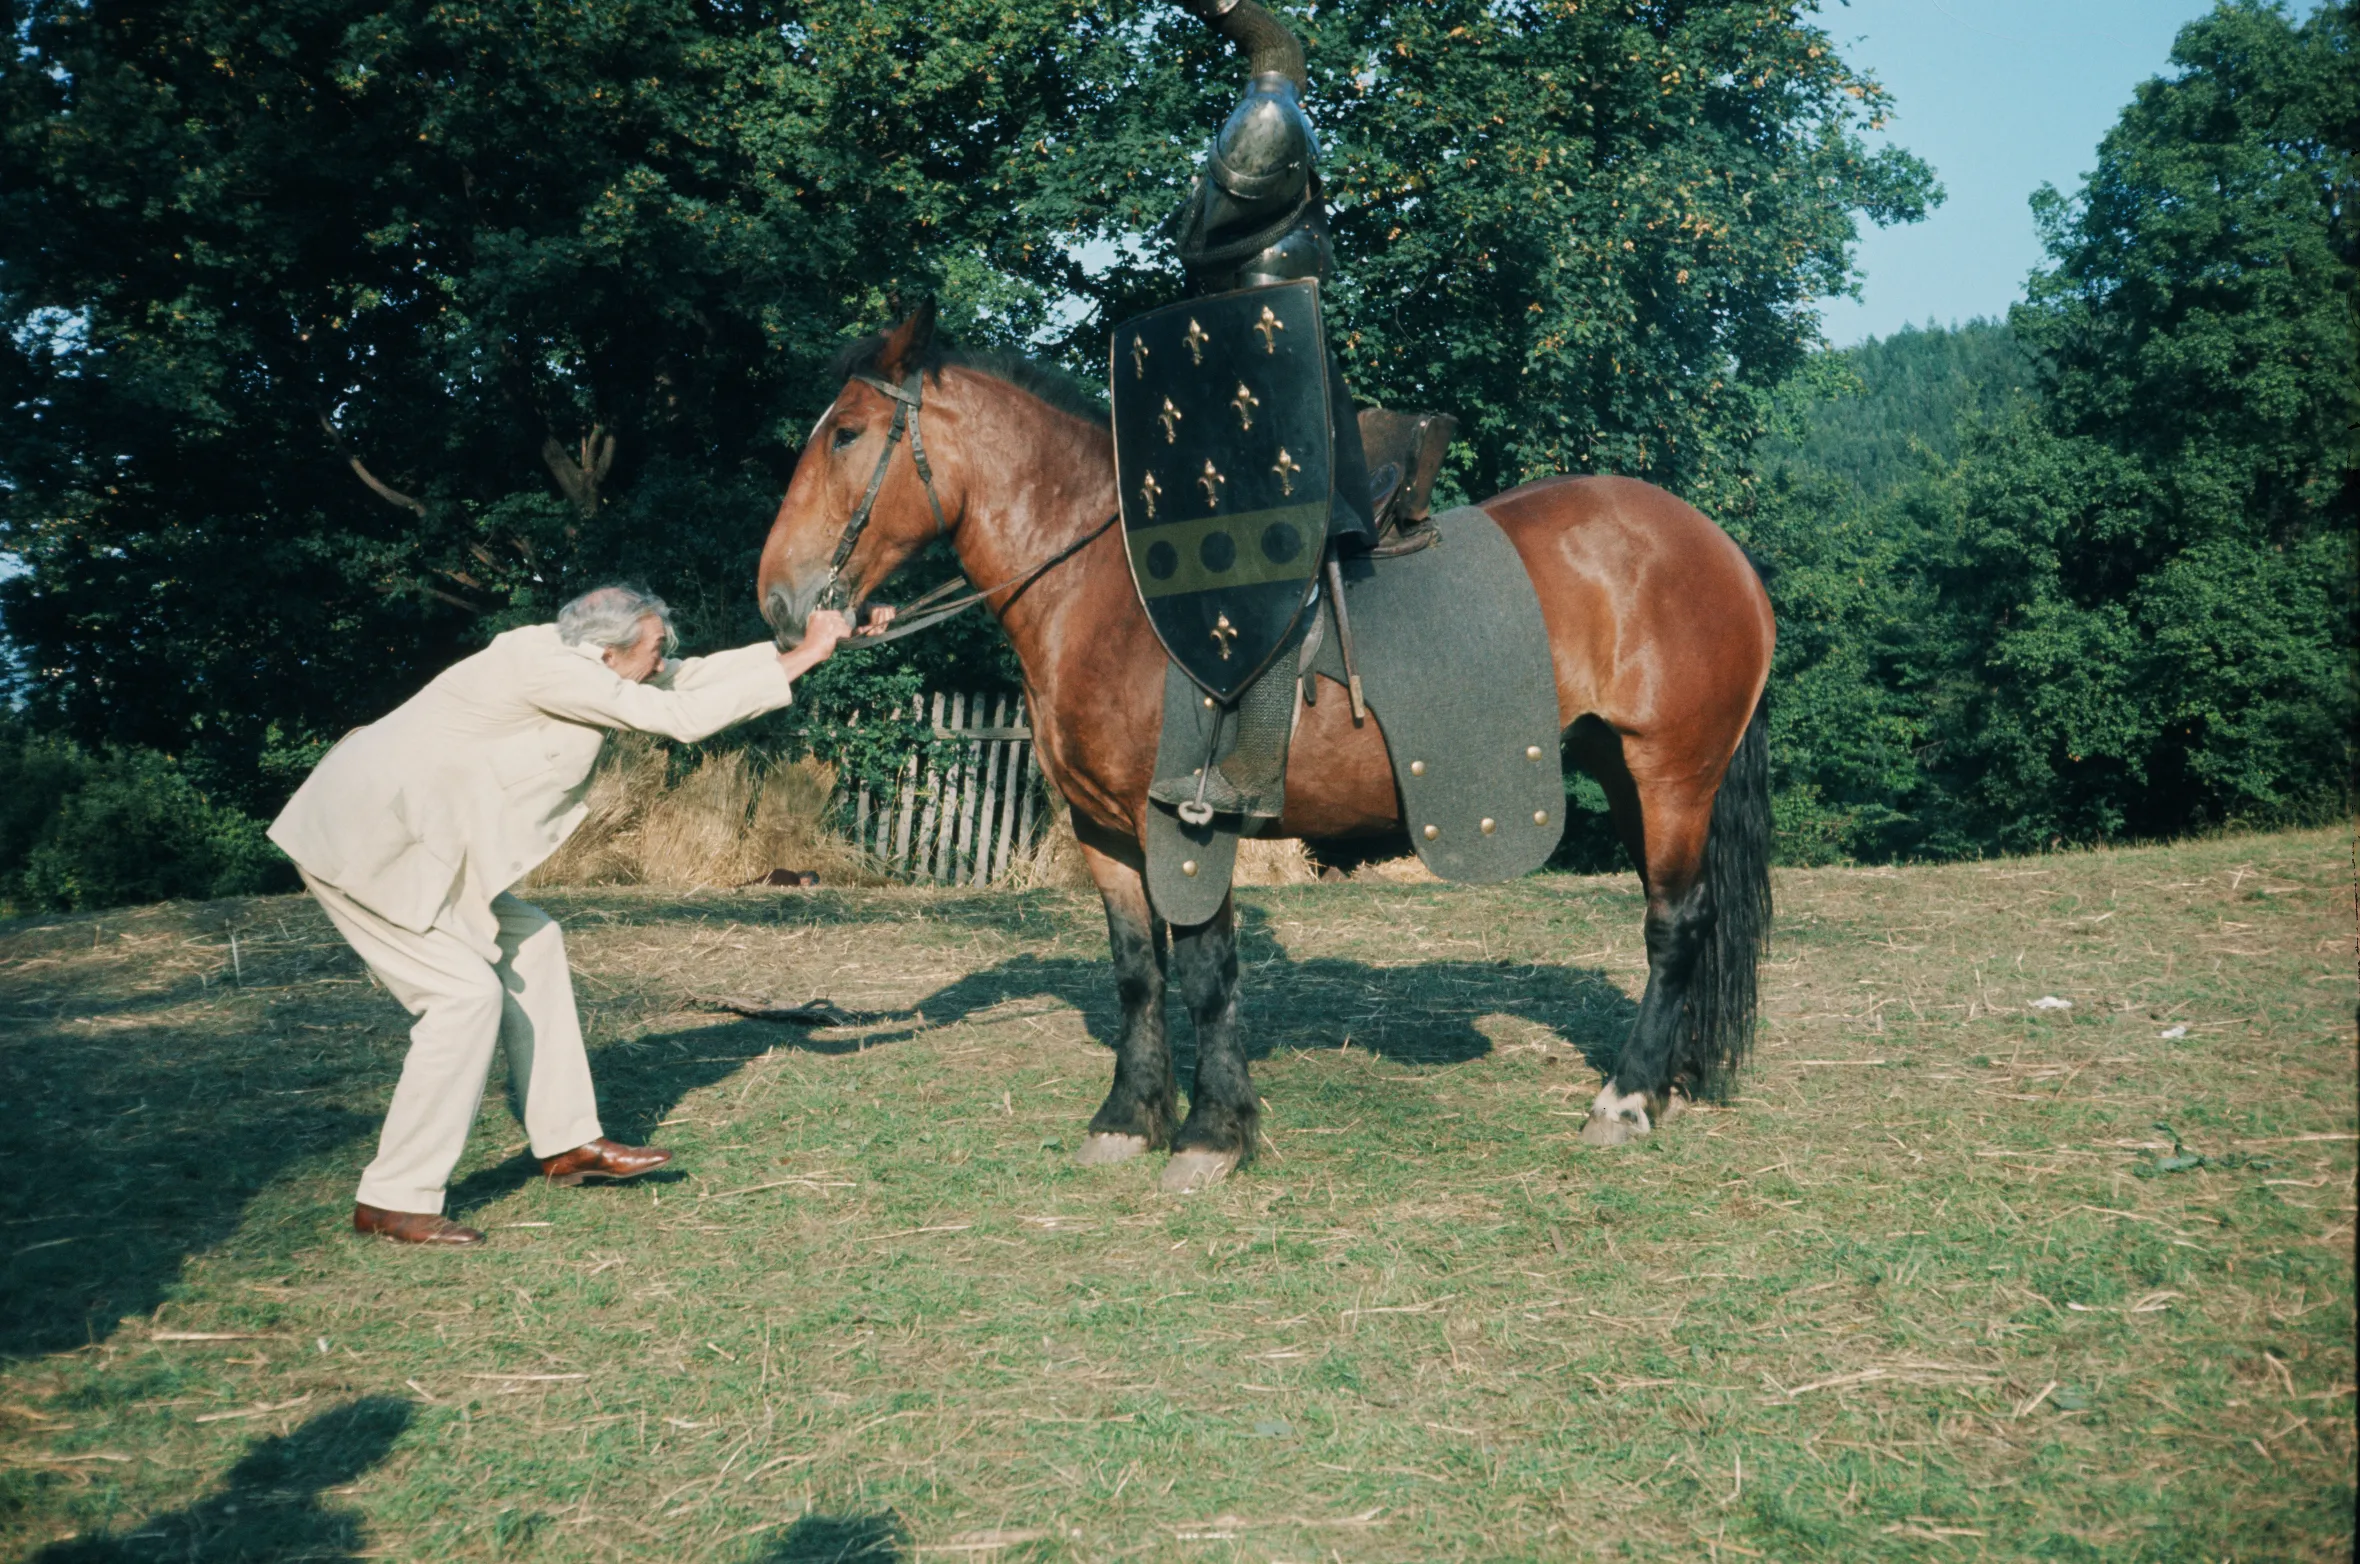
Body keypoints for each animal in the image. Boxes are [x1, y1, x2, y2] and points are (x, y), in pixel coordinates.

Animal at [757, 305, 1774, 1191]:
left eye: (846, 434)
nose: (776, 600)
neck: (1110, 593)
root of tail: (1718, 549)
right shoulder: (1105, 832)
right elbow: (1139, 972)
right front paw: (1129, 1118)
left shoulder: (1187, 824)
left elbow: (1208, 975)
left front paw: (1213, 1133)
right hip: (1625, 771)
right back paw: (1668, 1080)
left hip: (1671, 774)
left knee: (1674, 926)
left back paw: (1627, 1099)